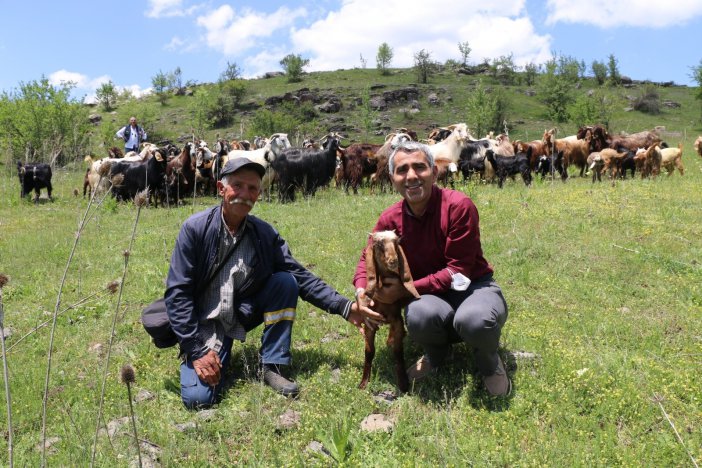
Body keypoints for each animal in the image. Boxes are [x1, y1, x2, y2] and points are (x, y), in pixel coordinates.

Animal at [360, 230, 420, 392]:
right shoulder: (370, 324)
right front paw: (363, 382)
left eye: (397, 242)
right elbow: (369, 352)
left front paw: (403, 383)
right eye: (379, 244)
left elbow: (398, 353)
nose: (394, 261)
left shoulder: (397, 321)